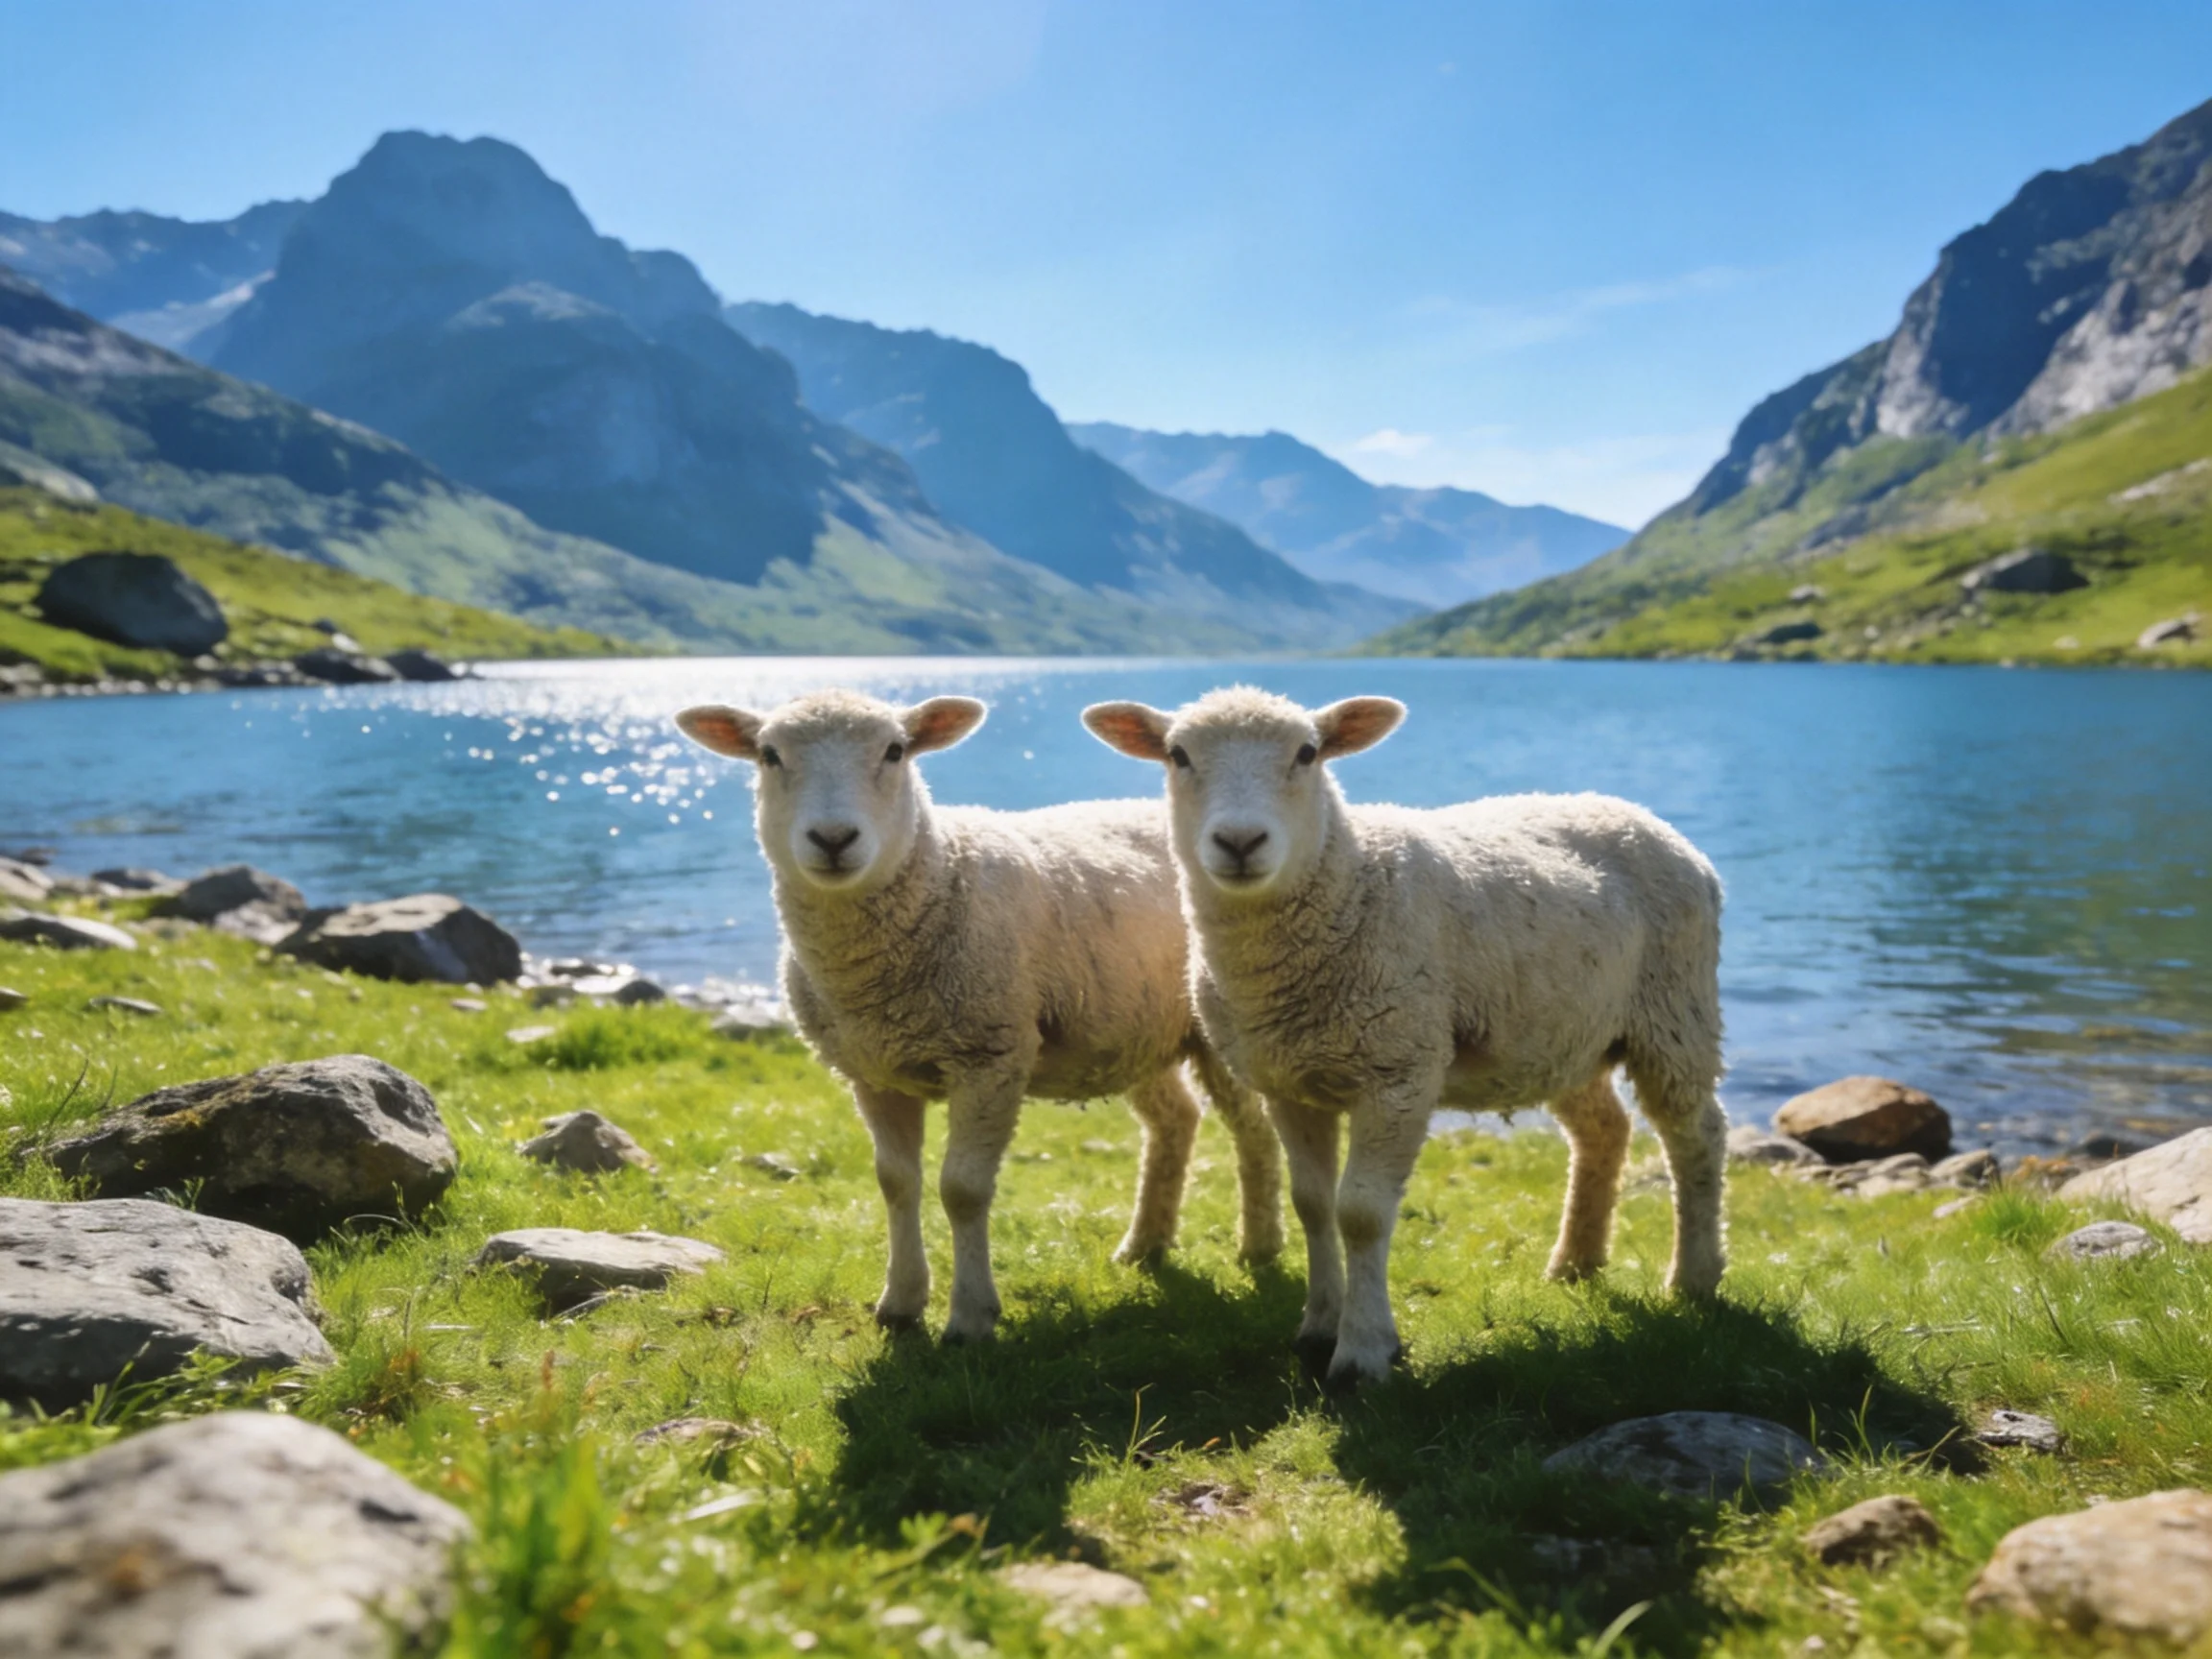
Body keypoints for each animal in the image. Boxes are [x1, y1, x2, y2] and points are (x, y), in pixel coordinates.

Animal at [675, 689, 1284, 1342]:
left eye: (895, 751)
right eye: (768, 754)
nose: (833, 838)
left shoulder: (990, 1054)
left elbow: (962, 1190)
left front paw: (969, 1316)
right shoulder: (874, 1070)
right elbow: (896, 1182)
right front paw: (900, 1302)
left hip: (1218, 1027)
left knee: (1253, 1128)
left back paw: (1260, 1246)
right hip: (1131, 1028)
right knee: (1175, 1120)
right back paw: (1145, 1244)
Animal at [1083, 686, 1728, 1386]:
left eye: (1307, 753)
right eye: (1178, 755)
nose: (1240, 840)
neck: (1348, 886)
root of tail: (1638, 814)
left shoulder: (1397, 1072)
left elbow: (1361, 1213)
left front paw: (1363, 1351)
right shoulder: (1289, 1084)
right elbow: (1313, 1203)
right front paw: (1318, 1327)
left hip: (1675, 1011)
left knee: (1696, 1136)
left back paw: (1694, 1279)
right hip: (1563, 1033)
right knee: (1604, 1129)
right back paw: (1575, 1263)